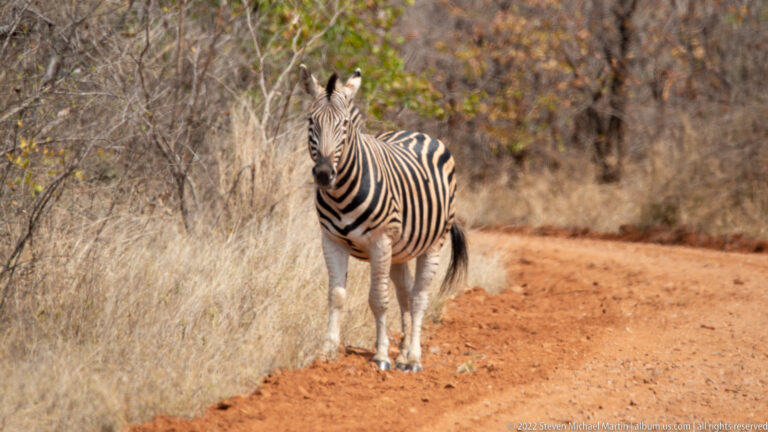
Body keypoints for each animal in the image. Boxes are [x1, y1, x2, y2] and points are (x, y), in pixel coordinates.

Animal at [299, 64, 468, 372]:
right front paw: (327, 352)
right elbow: (336, 295)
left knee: (419, 297)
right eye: (311, 121)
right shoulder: (331, 240)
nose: (324, 174)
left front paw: (380, 355)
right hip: (399, 250)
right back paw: (403, 353)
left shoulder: (379, 242)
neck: (340, 194)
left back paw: (413, 358)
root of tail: (417, 133)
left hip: (433, 243)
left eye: (344, 125)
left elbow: (378, 299)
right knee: (406, 294)